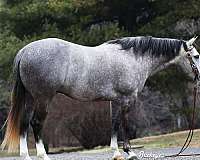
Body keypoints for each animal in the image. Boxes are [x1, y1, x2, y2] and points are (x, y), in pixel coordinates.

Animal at [0, 36, 199, 160]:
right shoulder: (127, 100)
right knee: (36, 123)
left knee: (24, 123)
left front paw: (116, 153)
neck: (133, 58)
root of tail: (25, 51)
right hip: (43, 98)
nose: (198, 78)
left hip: (30, 98)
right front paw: (130, 152)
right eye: (196, 56)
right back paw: (43, 155)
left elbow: (114, 123)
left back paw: (26, 155)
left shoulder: (115, 101)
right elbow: (124, 125)